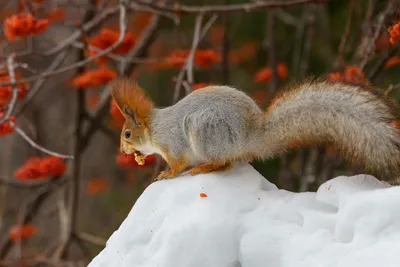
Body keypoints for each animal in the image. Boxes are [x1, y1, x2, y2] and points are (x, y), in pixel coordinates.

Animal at [109, 76, 400, 183]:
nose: (122, 149)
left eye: (127, 134)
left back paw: (203, 167)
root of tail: (250, 137)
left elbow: (178, 164)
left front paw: (166, 175)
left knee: (223, 162)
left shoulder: (173, 144)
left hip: (205, 131)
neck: (155, 129)